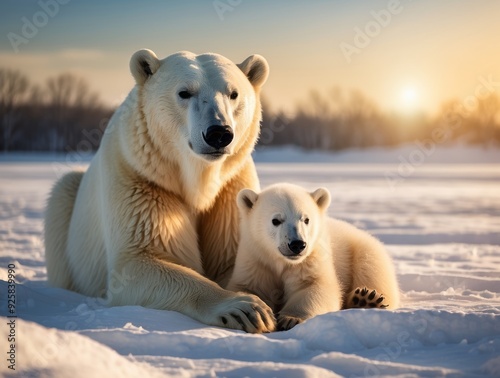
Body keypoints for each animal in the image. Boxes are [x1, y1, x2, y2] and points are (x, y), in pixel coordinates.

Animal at [44, 49, 276, 334]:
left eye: (233, 93)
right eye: (184, 92)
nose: (218, 133)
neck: (197, 181)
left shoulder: (231, 190)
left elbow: (237, 256)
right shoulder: (141, 179)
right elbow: (139, 262)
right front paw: (245, 308)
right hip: (68, 215)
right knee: (62, 196)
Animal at [229, 185, 400, 330]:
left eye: (306, 219)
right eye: (276, 220)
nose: (297, 244)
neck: (281, 261)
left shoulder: (311, 259)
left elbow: (315, 286)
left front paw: (290, 318)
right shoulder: (256, 260)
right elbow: (248, 287)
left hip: (363, 249)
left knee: (371, 270)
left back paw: (367, 298)